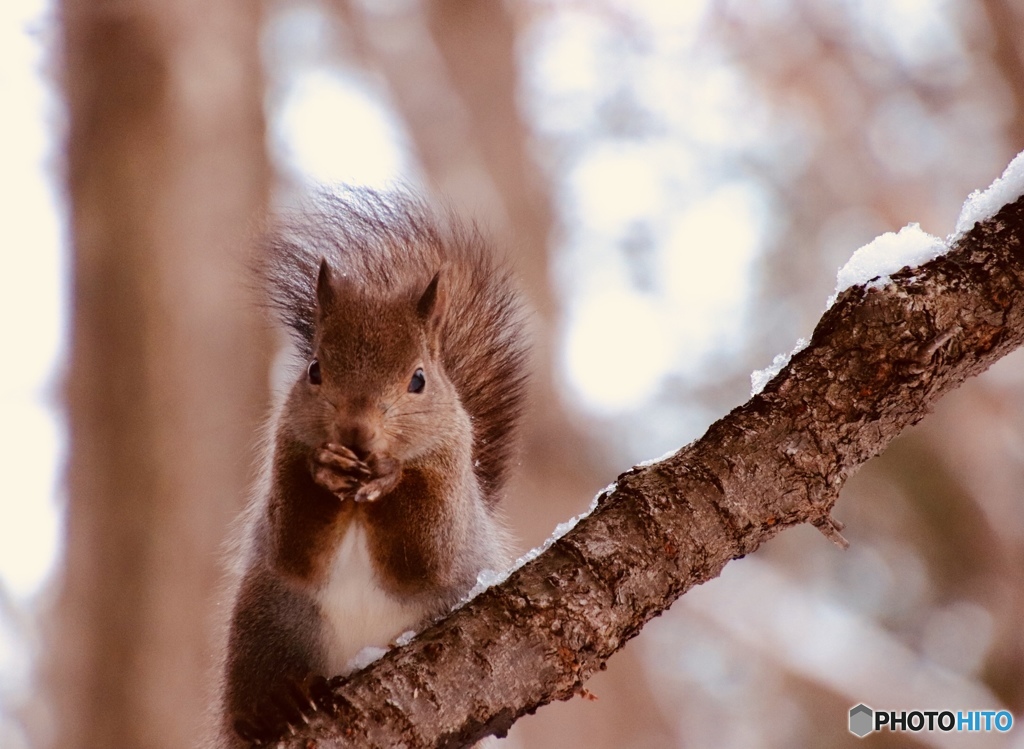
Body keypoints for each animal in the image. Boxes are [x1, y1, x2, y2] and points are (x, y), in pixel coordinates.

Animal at [221, 187, 532, 745]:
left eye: (419, 379)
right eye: (314, 370)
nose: (356, 433)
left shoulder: (451, 486)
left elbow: (426, 554)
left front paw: (390, 476)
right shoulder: (285, 454)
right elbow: (293, 546)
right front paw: (326, 472)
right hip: (266, 623)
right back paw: (273, 708)